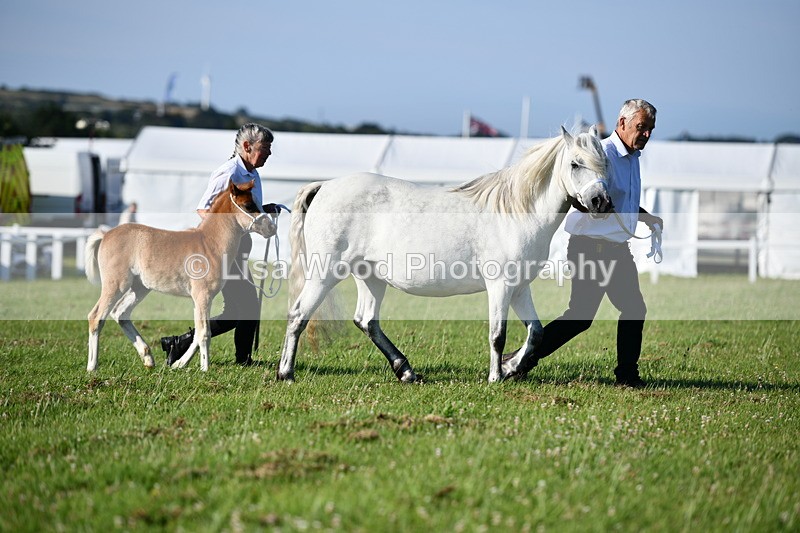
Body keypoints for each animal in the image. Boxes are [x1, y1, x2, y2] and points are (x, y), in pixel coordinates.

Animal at [85, 179, 275, 372]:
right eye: (248, 205)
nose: (271, 228)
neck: (210, 244)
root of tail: (106, 234)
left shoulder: (199, 300)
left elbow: (198, 333)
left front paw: (179, 363)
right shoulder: (202, 296)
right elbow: (204, 333)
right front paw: (205, 368)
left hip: (140, 287)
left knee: (120, 313)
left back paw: (148, 358)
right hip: (116, 284)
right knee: (96, 317)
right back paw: (92, 366)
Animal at [277, 126, 613, 383]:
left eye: (605, 163)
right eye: (575, 163)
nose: (601, 202)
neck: (515, 211)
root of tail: (324, 186)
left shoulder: (520, 288)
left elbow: (537, 333)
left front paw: (511, 368)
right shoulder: (500, 286)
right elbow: (497, 334)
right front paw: (495, 377)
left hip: (370, 276)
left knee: (367, 321)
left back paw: (406, 371)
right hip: (324, 274)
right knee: (298, 315)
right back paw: (286, 373)